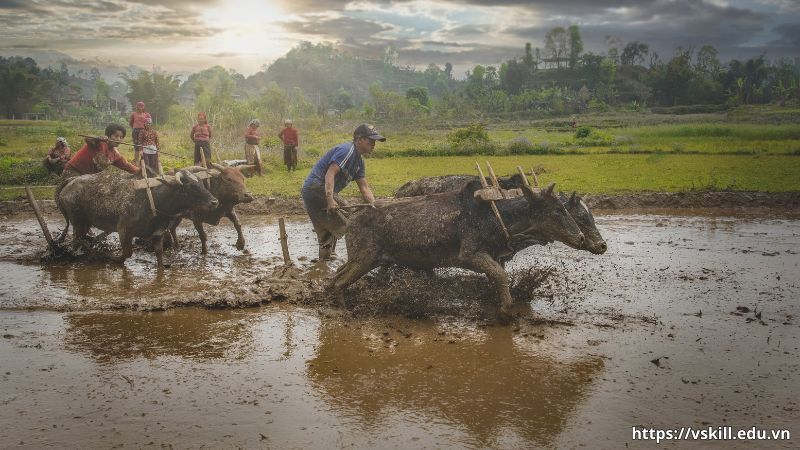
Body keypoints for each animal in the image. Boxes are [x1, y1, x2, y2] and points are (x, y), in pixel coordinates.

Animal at [55, 169, 219, 268]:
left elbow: (159, 253)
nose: (215, 202)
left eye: (201, 183)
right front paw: (112, 259)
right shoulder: (124, 230)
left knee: (79, 240)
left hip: (85, 223)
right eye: (190, 187)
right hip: (79, 222)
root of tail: (71, 181)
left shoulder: (158, 234)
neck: (154, 200)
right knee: (77, 240)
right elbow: (127, 253)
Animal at [328, 179, 584, 320]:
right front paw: (505, 311)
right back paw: (343, 310)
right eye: (558, 210)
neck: (494, 215)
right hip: (365, 259)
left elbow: (498, 277)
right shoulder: (470, 255)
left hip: (364, 259)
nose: (580, 237)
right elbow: (501, 276)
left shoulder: (492, 257)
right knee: (340, 281)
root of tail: (353, 214)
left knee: (336, 275)